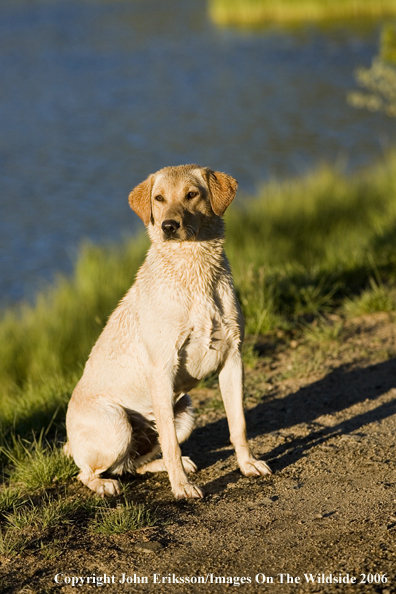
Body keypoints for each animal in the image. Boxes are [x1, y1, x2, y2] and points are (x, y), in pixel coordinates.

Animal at [64, 163, 272, 494]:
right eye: (159, 198)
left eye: (191, 194)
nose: (169, 226)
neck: (194, 268)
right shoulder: (163, 369)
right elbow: (171, 444)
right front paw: (183, 489)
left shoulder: (232, 358)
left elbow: (238, 424)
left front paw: (247, 465)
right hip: (117, 424)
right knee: (89, 473)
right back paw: (106, 485)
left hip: (184, 410)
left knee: (134, 464)